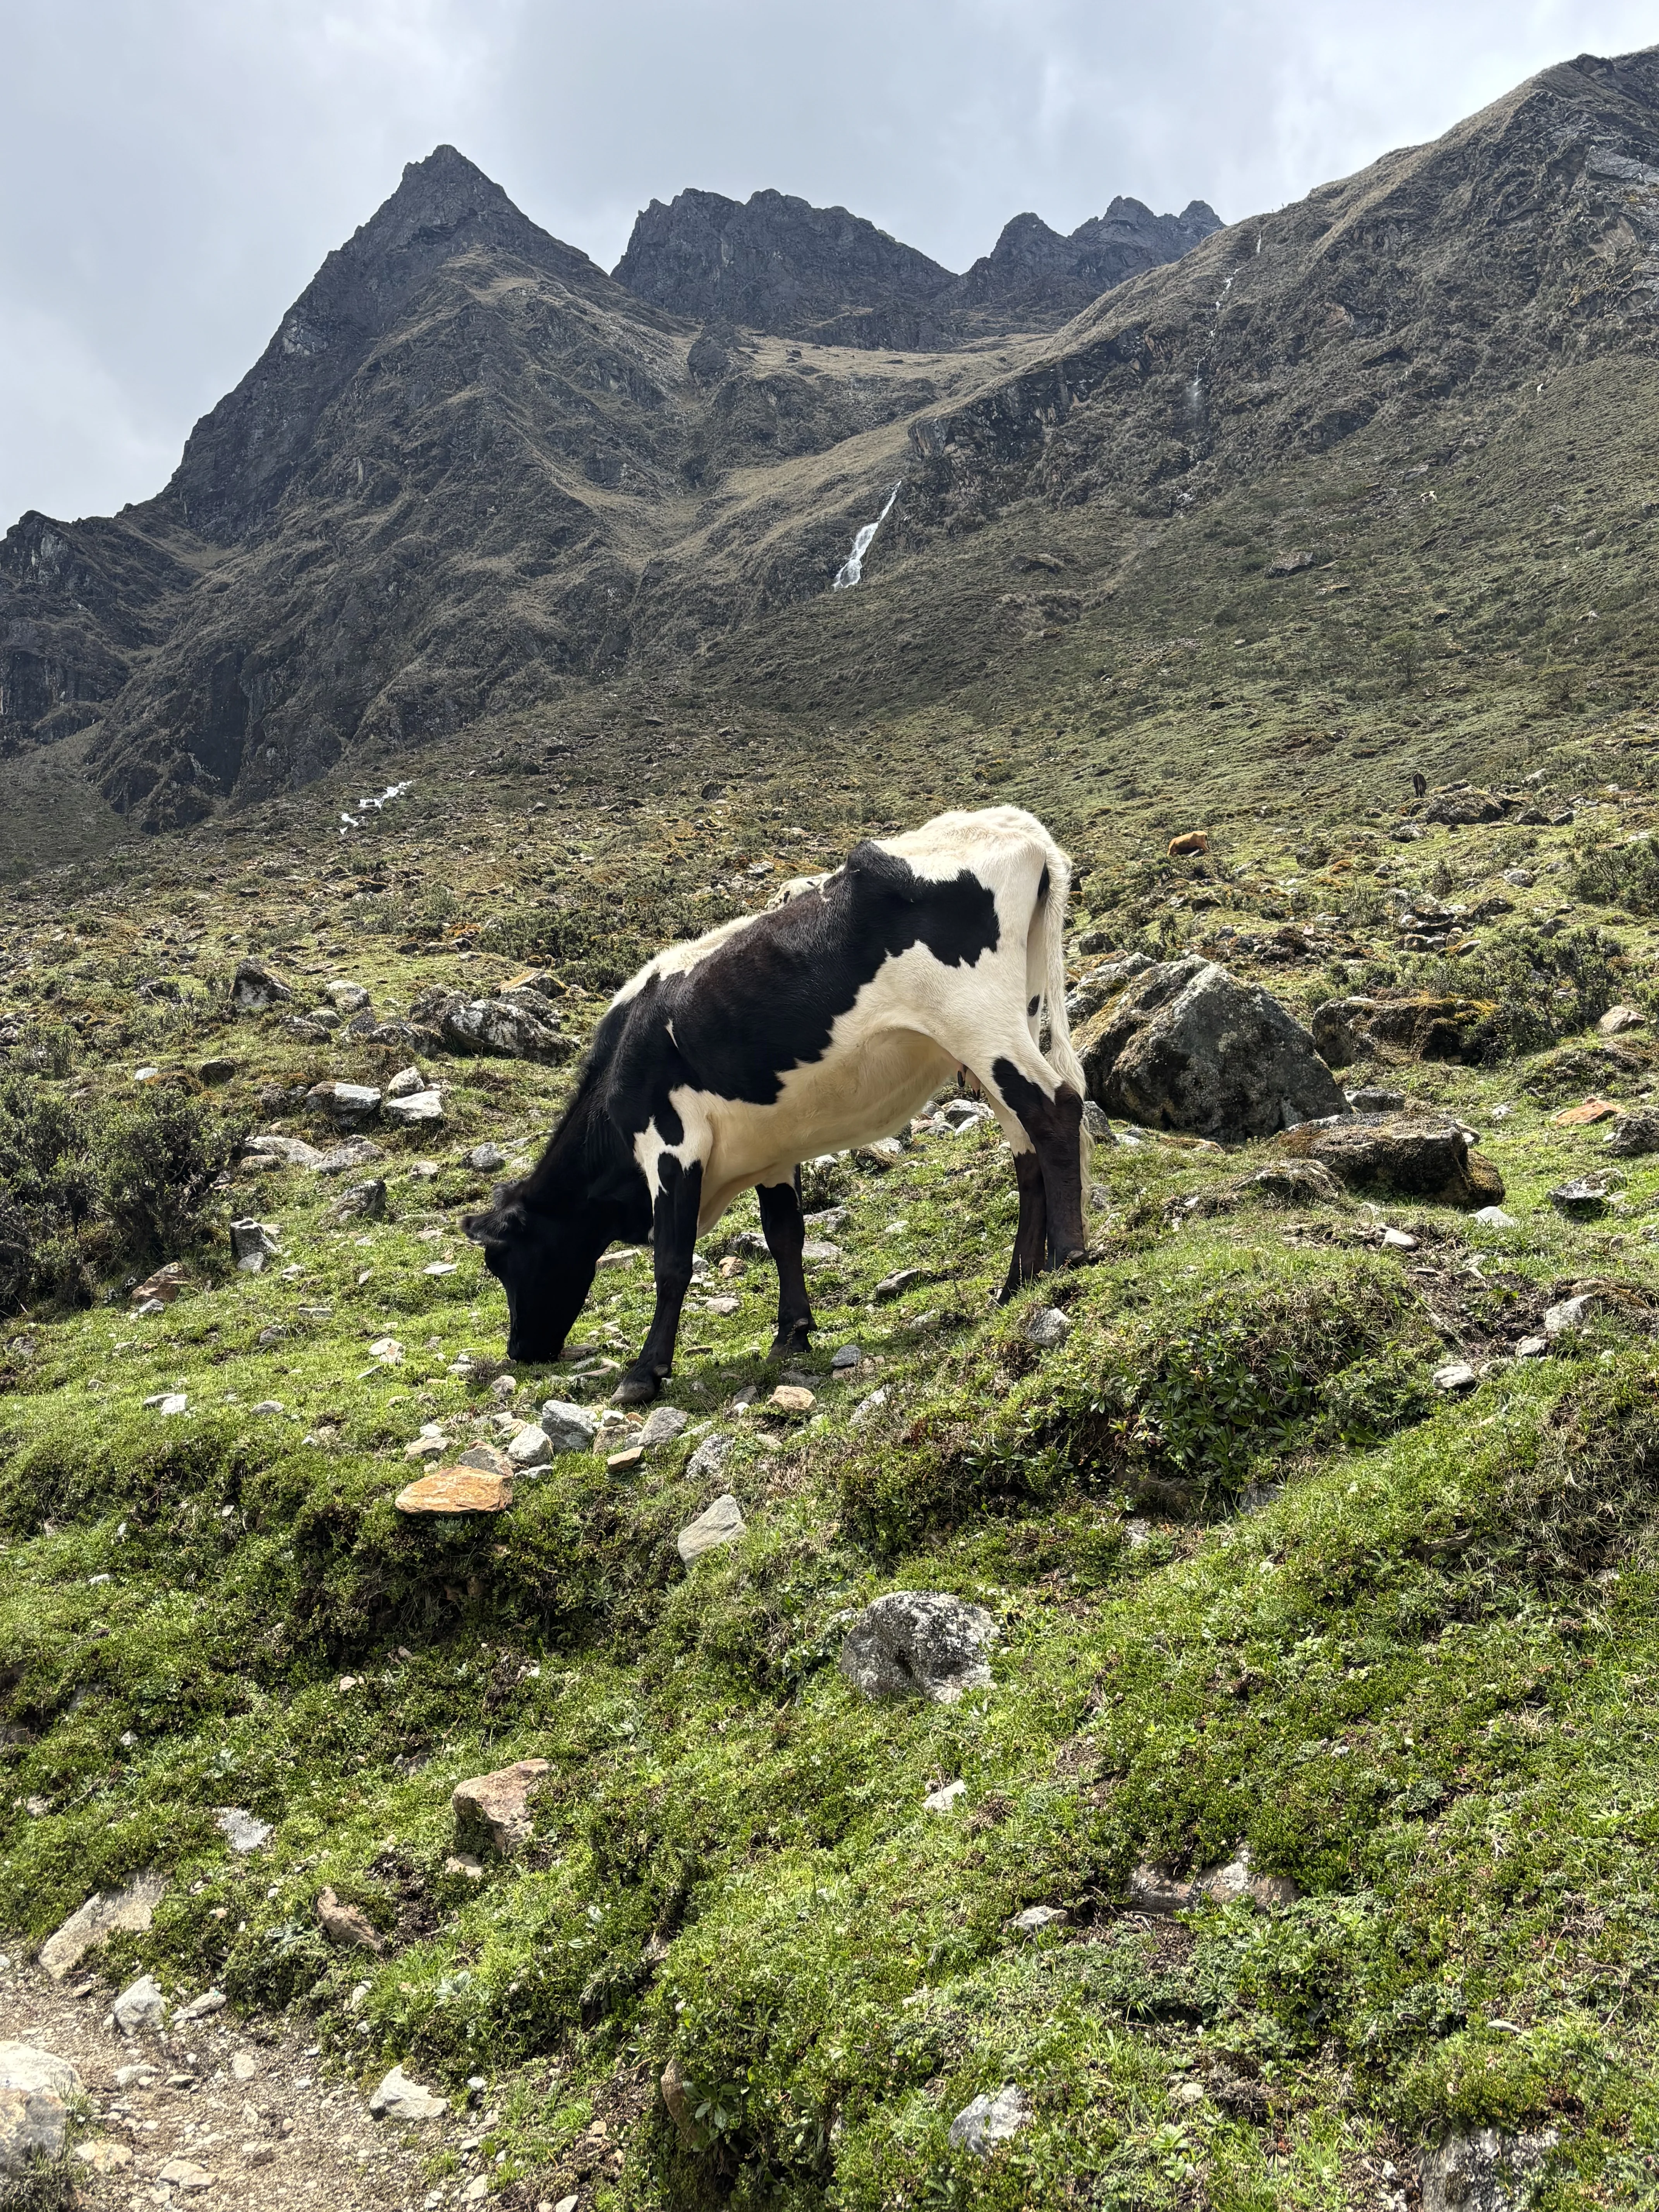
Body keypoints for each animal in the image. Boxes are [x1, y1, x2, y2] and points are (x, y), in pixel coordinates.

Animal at [464, 806, 1091, 1403]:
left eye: (503, 1260)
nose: (520, 1351)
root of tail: (1016, 827)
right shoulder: (771, 1151)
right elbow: (784, 1235)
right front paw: (792, 1334)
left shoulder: (671, 1144)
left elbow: (672, 1259)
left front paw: (645, 1372)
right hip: (1001, 1032)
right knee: (1026, 1148)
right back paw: (1016, 1285)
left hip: (980, 1026)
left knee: (1056, 1109)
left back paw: (1067, 1259)